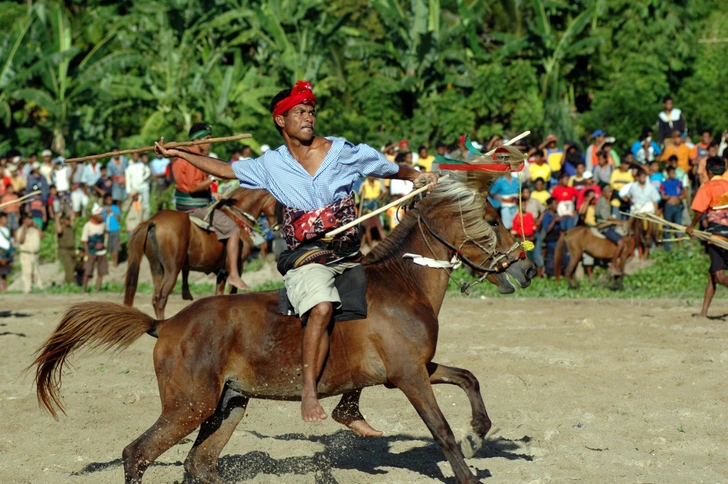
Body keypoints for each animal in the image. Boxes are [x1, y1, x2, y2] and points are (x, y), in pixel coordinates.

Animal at [123, 187, 278, 320]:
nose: (277, 226)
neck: (237, 217)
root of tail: (153, 221)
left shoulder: (220, 273)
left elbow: (219, 296)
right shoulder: (236, 267)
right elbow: (233, 292)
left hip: (157, 268)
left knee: (155, 298)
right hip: (172, 270)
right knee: (160, 299)